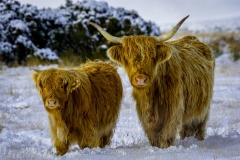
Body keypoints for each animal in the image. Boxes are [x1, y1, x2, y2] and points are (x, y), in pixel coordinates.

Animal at [89, 15, 215, 148]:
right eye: (128, 58)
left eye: (152, 57)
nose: (140, 79)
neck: (150, 96)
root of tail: (192, 38)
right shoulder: (143, 113)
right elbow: (153, 137)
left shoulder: (173, 109)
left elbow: (166, 135)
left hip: (204, 106)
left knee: (198, 124)